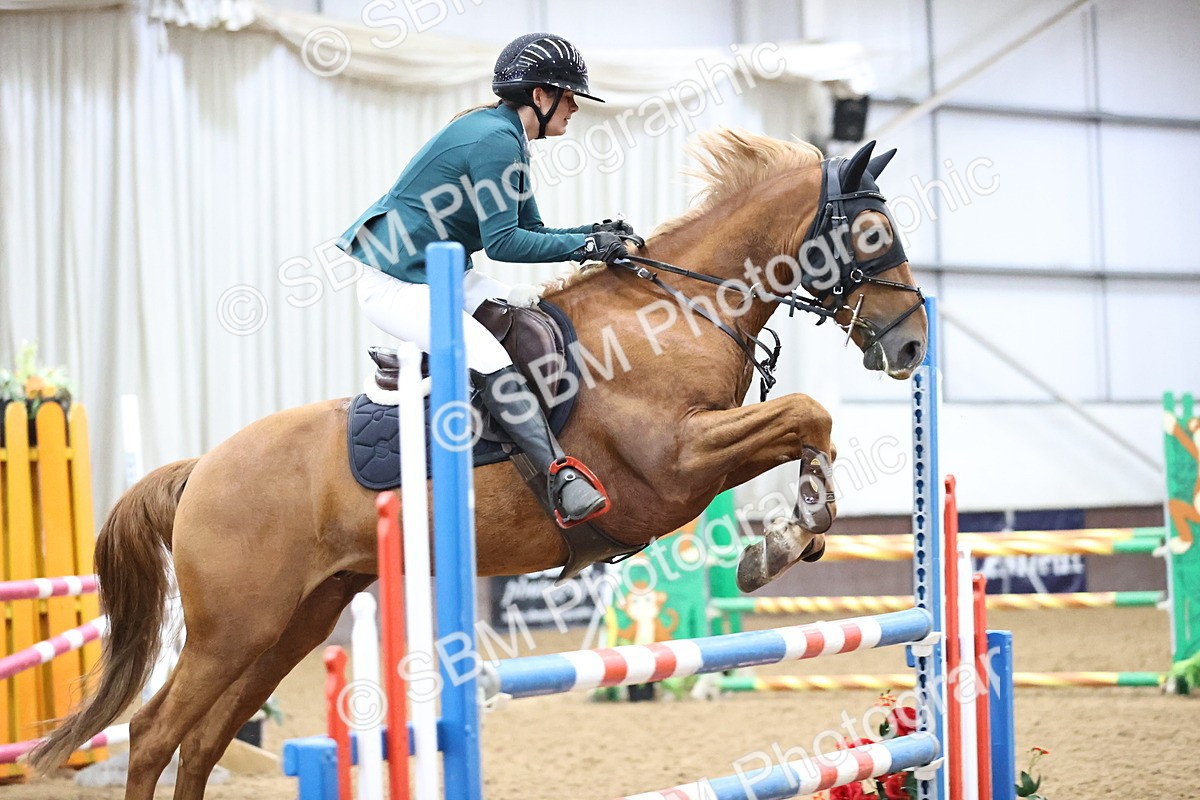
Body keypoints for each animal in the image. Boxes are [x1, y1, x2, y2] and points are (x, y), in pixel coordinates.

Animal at [31, 129, 927, 799]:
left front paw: (788, 538)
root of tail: (202, 468)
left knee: (204, 741)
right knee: (154, 735)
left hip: (295, 622)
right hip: (233, 627)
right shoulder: (674, 465)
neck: (678, 308)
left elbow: (809, 426)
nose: (914, 343)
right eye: (875, 235)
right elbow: (807, 413)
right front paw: (781, 542)